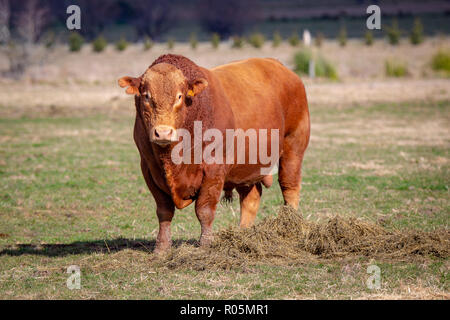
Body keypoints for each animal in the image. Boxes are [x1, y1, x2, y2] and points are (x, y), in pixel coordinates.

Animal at [118, 53, 312, 251]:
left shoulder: (214, 169)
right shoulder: (149, 168)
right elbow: (164, 210)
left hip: (293, 146)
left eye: (179, 96)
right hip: (246, 165)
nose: (163, 132)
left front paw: (205, 244)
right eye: (146, 96)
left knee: (289, 187)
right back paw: (243, 233)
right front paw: (162, 248)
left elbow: (204, 210)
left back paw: (291, 226)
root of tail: (280, 67)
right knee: (250, 198)